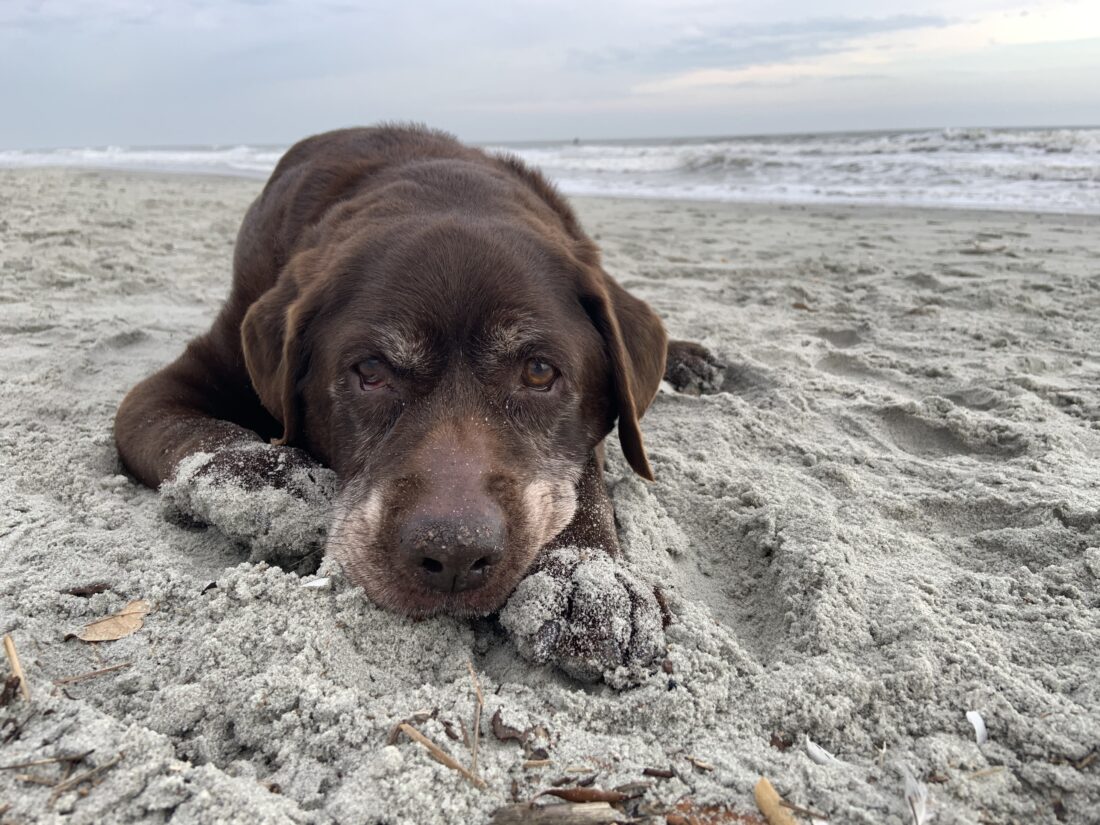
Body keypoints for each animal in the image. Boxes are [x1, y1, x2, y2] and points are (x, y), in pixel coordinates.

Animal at [113, 124, 721, 673]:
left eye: (538, 372)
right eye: (371, 371)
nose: (455, 553)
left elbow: (583, 481)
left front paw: (588, 576)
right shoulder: (176, 384)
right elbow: (205, 436)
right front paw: (274, 480)